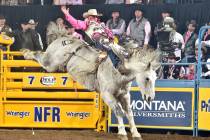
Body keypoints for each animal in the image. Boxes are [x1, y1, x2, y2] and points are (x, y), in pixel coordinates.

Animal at [21, 25, 160, 140]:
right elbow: (119, 111)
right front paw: (122, 133)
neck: (118, 69)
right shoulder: (107, 95)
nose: (150, 98)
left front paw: (136, 133)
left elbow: (129, 113)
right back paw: (26, 53)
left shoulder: (124, 95)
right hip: (50, 63)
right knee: (39, 55)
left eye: (155, 78)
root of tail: (61, 38)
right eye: (147, 78)